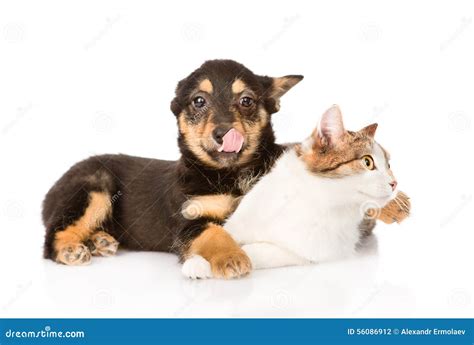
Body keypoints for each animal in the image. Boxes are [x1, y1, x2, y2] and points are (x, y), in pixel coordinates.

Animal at [43, 59, 304, 278]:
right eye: (199, 101)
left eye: (246, 100)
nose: (223, 134)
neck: (230, 174)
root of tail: (50, 192)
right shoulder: (189, 222)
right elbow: (215, 233)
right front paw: (231, 257)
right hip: (95, 188)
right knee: (52, 237)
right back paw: (70, 250)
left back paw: (100, 241)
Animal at [180, 104, 410, 276]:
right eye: (367, 162)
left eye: (388, 165)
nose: (394, 183)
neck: (311, 195)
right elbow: (217, 234)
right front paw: (200, 260)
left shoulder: (312, 251)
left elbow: (257, 251)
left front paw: (237, 256)